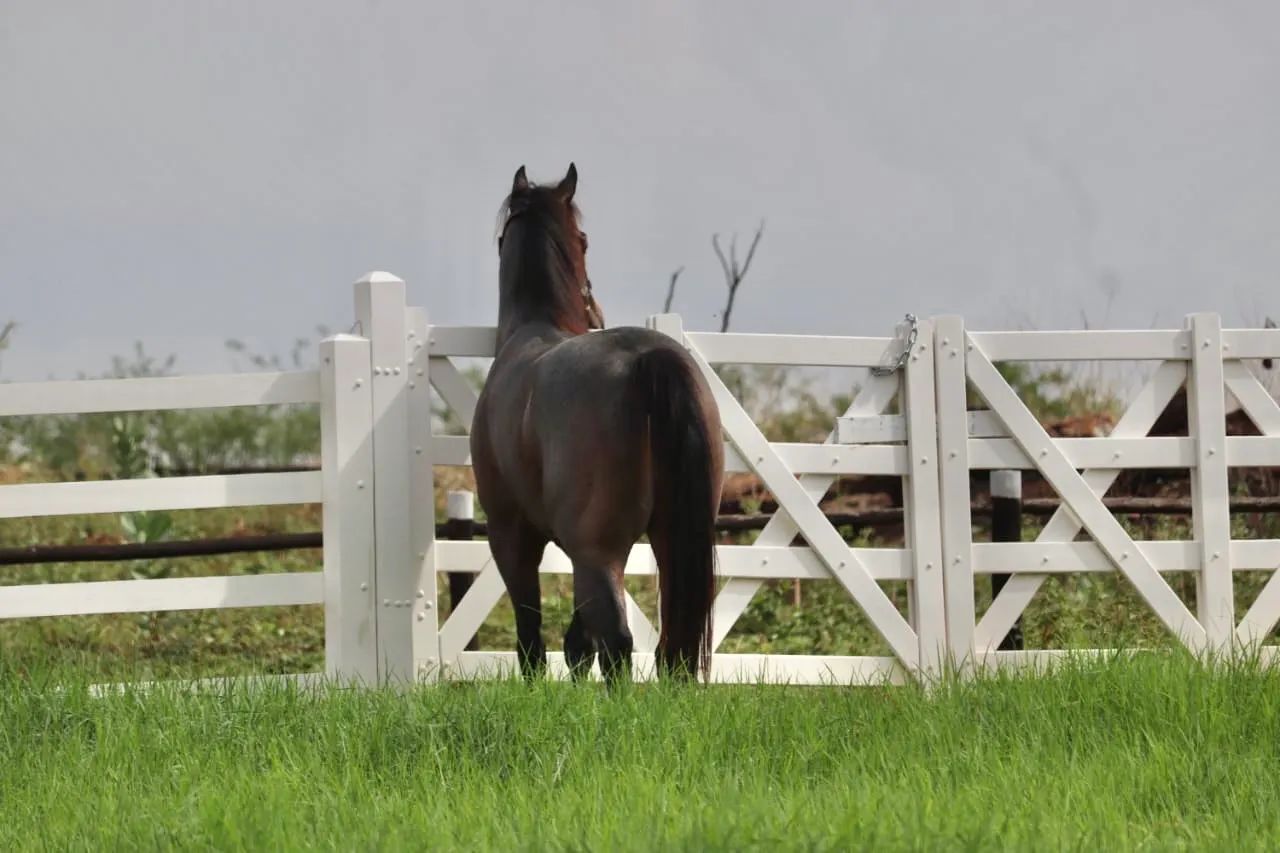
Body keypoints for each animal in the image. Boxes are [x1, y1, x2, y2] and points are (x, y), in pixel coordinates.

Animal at [469, 163, 724, 685]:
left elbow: (532, 634)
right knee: (667, 646)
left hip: (598, 550)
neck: (533, 328)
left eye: (583, 239)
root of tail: (648, 360)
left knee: (618, 640)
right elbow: (575, 641)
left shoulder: (512, 536)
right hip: (670, 537)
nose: (597, 311)